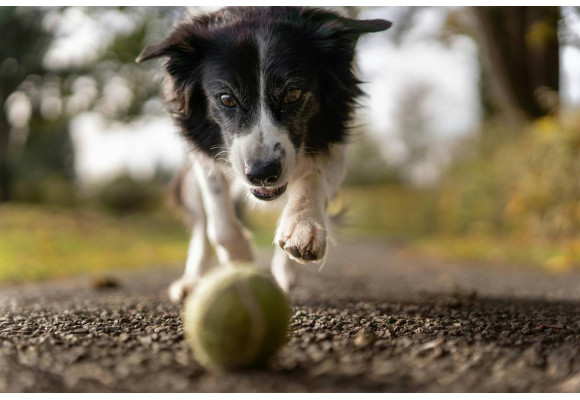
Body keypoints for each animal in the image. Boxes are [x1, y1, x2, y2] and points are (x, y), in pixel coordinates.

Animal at [135, 6, 390, 302]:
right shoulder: (203, 151)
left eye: (293, 93)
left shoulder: (334, 140)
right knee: (200, 225)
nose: (262, 174)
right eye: (226, 99)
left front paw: (302, 227)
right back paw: (191, 281)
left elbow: (312, 178)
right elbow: (219, 223)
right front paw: (241, 259)